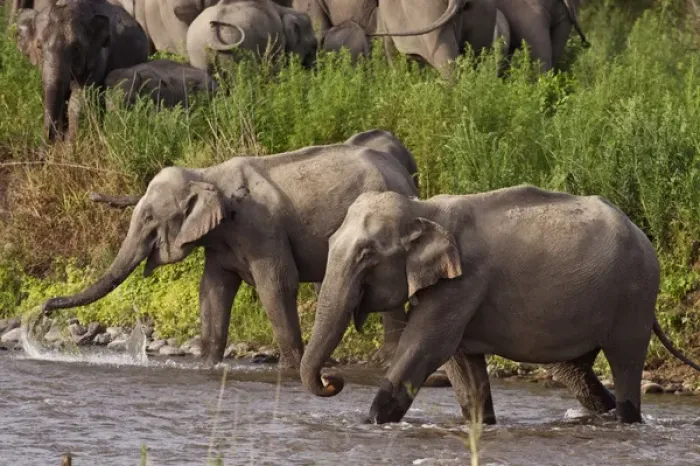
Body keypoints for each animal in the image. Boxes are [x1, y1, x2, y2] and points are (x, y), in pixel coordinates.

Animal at [15, 0, 150, 142]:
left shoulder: (97, 58)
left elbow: (78, 99)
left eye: (76, 48)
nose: (48, 141)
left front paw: (70, 145)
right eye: (39, 47)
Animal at [41, 129, 419, 369]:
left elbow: (277, 284)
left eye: (149, 217)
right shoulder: (221, 242)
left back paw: (384, 360)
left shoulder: (262, 228)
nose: (44, 309)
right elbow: (212, 290)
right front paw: (207, 363)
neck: (207, 174)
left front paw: (291, 367)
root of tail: (404, 173)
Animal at [300, 186, 700, 425]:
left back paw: (626, 419)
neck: (424, 209)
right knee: (572, 370)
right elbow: (461, 361)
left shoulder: (463, 284)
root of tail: (643, 237)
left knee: (625, 361)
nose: (332, 380)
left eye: (367, 254)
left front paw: (370, 423)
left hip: (634, 297)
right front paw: (482, 426)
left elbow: (426, 348)